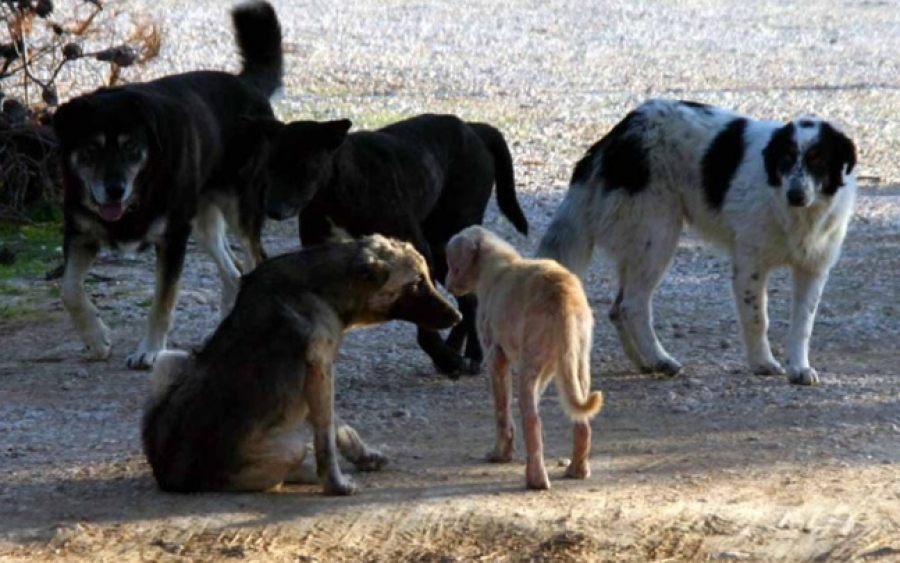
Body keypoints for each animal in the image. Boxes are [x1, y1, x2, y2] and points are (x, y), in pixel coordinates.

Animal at [51, 1, 282, 370]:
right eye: (91, 148)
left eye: (131, 146)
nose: (114, 190)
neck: (139, 190)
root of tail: (247, 85)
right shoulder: (81, 232)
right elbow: (69, 290)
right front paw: (96, 339)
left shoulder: (172, 238)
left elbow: (162, 301)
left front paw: (149, 351)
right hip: (202, 220)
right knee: (233, 274)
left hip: (239, 208)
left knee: (255, 259)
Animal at [142, 234, 464, 494]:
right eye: (417, 283)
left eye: (427, 277)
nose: (458, 316)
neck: (322, 287)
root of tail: (168, 476)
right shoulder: (320, 369)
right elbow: (326, 438)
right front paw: (335, 485)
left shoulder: (318, 377)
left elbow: (338, 426)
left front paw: (363, 457)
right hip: (288, 448)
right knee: (277, 473)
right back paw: (305, 474)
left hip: (171, 360)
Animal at [258, 113, 528, 378]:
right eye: (270, 167)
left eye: (303, 166)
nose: (272, 209)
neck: (337, 190)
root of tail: (473, 128)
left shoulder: (419, 252)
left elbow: (425, 320)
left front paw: (445, 357)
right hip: (443, 253)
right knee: (467, 300)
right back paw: (455, 349)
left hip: (448, 239)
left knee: (471, 300)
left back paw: (471, 355)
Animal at [444, 227, 600, 492]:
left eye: (451, 263)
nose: (445, 284)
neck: (497, 263)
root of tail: (564, 298)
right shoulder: (549, 369)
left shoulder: (495, 356)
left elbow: (502, 410)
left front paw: (501, 454)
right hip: (577, 364)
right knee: (581, 422)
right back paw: (577, 470)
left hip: (530, 366)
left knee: (532, 419)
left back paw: (536, 479)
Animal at [536, 99, 856, 386]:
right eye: (785, 159)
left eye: (818, 160)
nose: (796, 194)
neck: (797, 214)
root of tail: (619, 133)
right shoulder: (749, 266)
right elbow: (757, 319)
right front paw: (762, 363)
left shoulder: (813, 269)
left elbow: (803, 324)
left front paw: (799, 369)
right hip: (657, 235)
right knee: (632, 305)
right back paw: (660, 360)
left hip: (639, 244)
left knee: (616, 309)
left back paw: (644, 362)